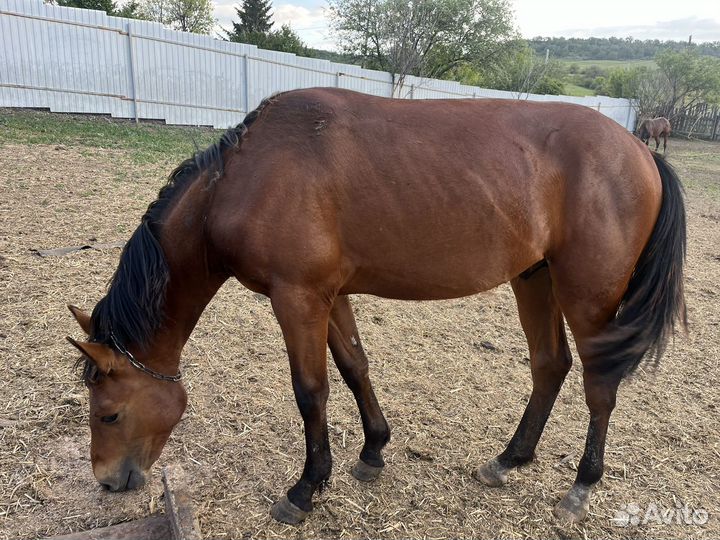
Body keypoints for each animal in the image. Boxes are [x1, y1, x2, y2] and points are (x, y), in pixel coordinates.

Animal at [66, 87, 686, 527]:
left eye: (109, 414)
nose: (108, 480)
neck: (245, 177)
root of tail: (640, 151)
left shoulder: (297, 299)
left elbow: (311, 392)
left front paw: (306, 488)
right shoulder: (329, 296)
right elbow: (354, 367)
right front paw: (372, 451)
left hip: (586, 296)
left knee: (599, 384)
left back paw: (580, 487)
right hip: (535, 279)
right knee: (550, 366)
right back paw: (508, 460)